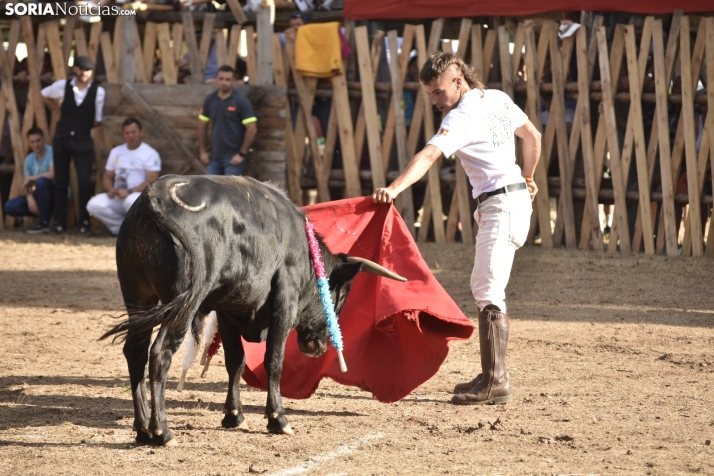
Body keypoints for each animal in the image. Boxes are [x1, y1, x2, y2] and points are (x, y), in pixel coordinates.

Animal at [98, 175, 406, 446]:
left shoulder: (227, 309)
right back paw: (162, 432)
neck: (305, 254)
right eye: (340, 298)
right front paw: (278, 419)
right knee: (159, 354)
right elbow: (274, 360)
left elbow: (236, 360)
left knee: (136, 351)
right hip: (184, 305)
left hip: (139, 298)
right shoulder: (284, 304)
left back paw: (142, 430)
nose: (318, 347)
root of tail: (153, 197)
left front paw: (234, 416)